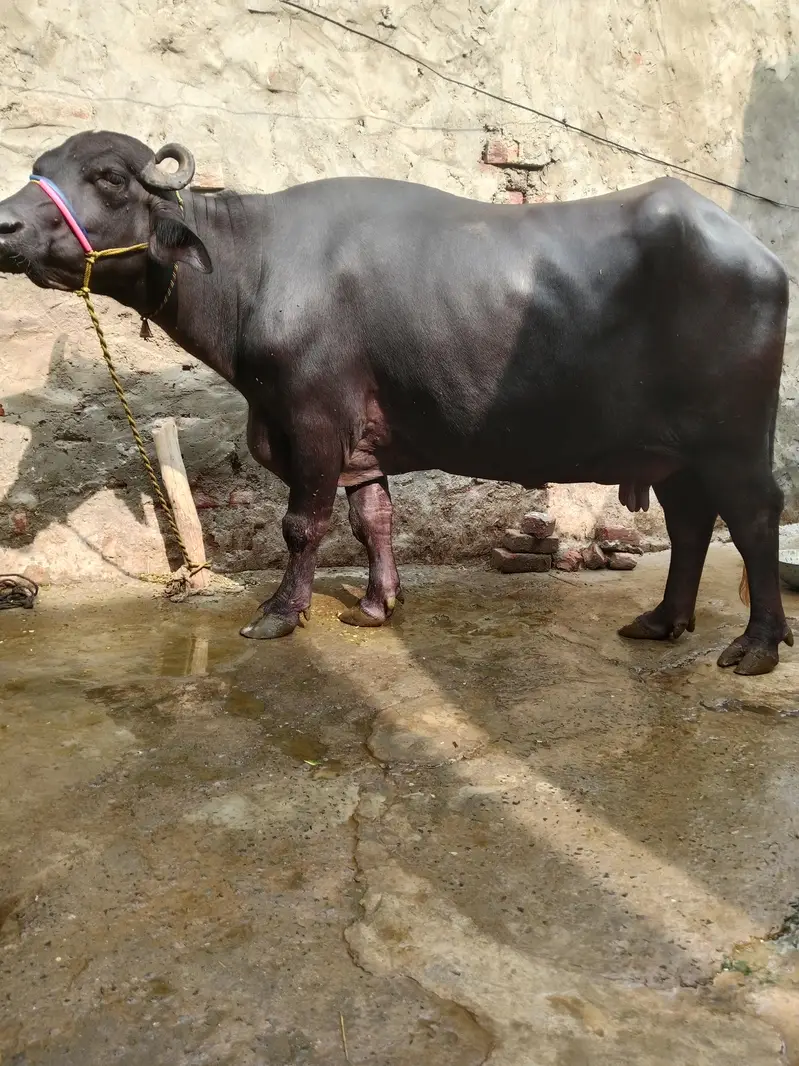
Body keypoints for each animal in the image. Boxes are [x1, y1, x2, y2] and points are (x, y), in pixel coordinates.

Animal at [0, 131, 792, 675]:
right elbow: (371, 518)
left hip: (731, 438)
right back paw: (662, 619)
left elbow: (303, 525)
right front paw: (378, 604)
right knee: (691, 524)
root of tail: (758, 256)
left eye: (107, 176)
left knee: (753, 517)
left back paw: (756, 644)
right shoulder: (358, 444)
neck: (252, 269)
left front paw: (279, 612)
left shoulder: (314, 419)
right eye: (39, 167)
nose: (5, 226)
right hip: (676, 451)